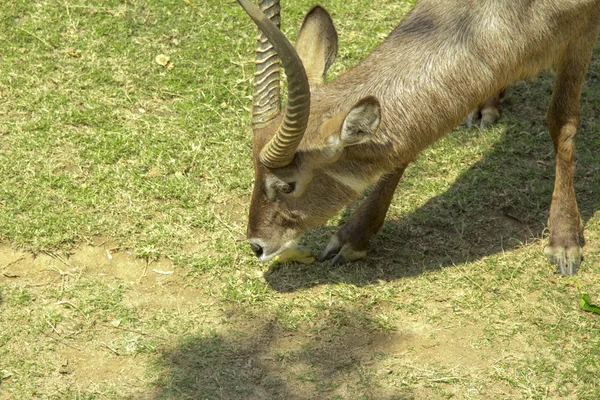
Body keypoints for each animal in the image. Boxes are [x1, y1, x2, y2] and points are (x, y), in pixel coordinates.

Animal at [234, 0, 600, 276]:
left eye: (287, 185)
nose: (257, 245)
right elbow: (403, 151)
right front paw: (351, 239)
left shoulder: (581, 32)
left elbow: (562, 123)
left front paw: (564, 242)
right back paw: (487, 105)